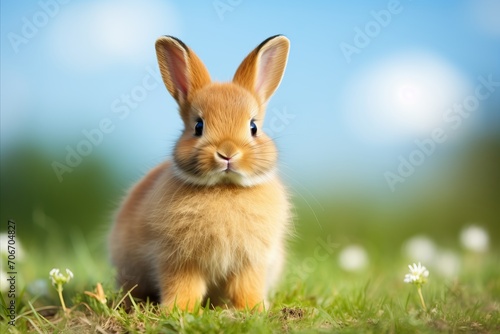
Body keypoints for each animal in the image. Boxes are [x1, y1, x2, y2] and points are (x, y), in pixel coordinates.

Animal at [107, 33, 292, 310]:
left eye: (253, 127)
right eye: (198, 126)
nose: (227, 152)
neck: (224, 187)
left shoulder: (251, 262)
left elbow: (247, 287)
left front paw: (254, 309)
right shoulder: (178, 259)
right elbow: (183, 286)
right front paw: (178, 309)